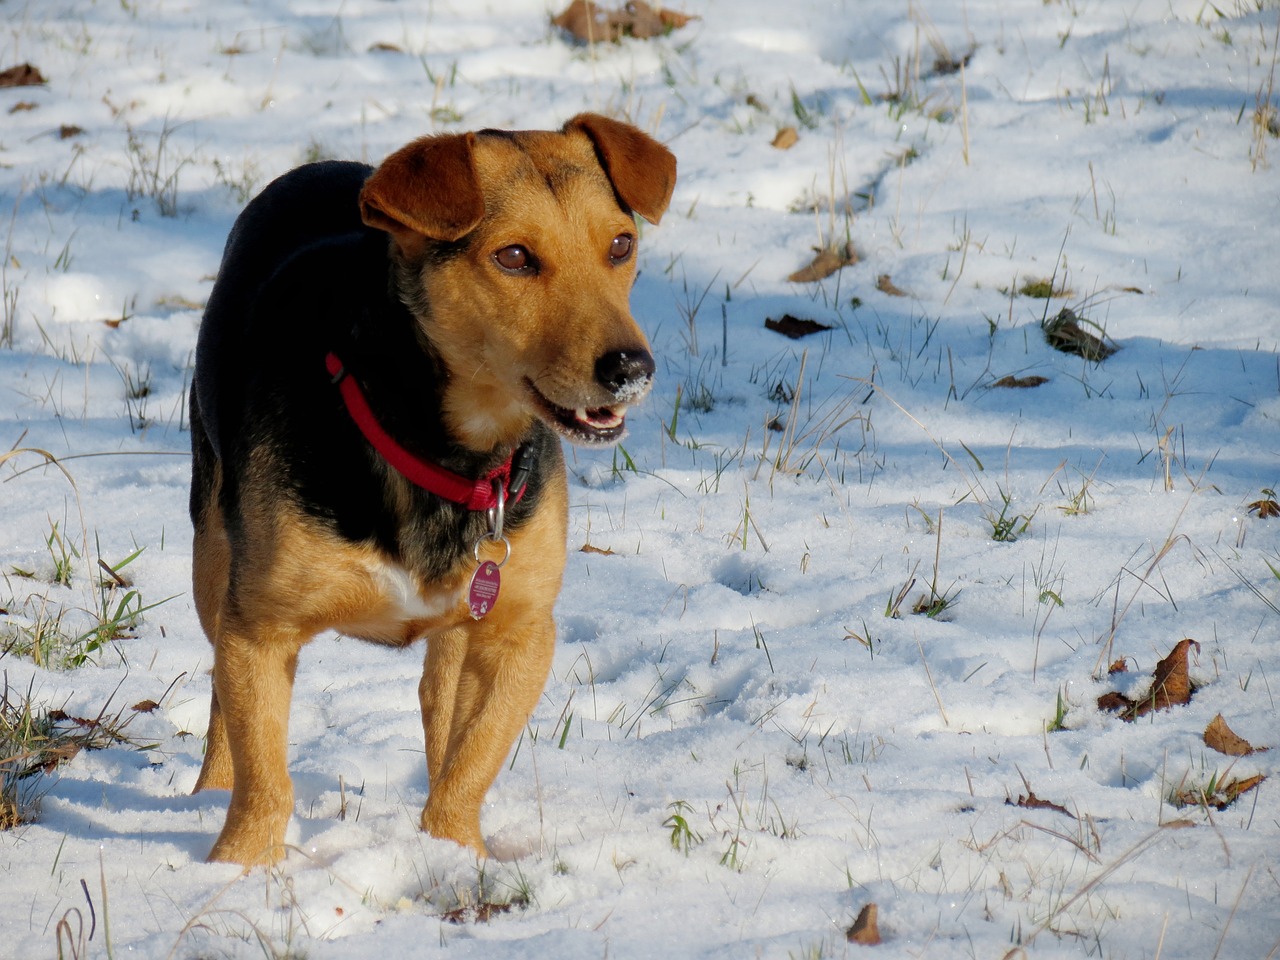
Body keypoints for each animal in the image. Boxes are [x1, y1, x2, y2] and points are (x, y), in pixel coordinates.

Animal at [188, 112, 675, 865]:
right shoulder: (260, 628)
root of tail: (324, 165)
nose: (630, 368)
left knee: (438, 700)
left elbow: (471, 760)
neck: (446, 453)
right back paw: (204, 797)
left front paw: (453, 851)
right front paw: (238, 867)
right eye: (514, 258)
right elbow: (264, 773)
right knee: (218, 693)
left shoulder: (520, 630)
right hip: (212, 549)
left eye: (621, 245)